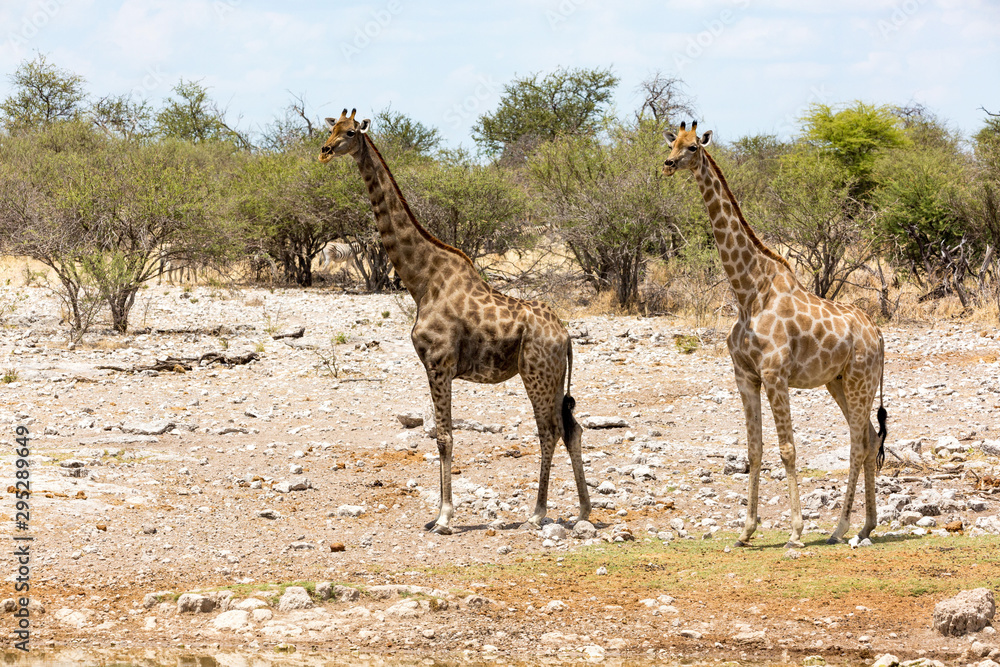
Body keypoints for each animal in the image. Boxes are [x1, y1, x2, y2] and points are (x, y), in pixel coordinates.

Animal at [319, 109, 591, 534]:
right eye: (329, 129)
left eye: (348, 133)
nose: (325, 151)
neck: (421, 280)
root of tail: (565, 335)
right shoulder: (435, 365)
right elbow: (440, 435)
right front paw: (439, 514)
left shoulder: (439, 363)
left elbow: (444, 436)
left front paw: (445, 517)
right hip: (550, 376)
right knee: (571, 429)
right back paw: (582, 510)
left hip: (537, 374)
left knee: (549, 431)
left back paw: (538, 512)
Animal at [662, 121, 888, 547]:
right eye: (670, 144)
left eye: (693, 147)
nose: (667, 165)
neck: (747, 291)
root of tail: (878, 334)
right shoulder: (745, 377)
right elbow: (754, 449)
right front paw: (745, 530)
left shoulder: (775, 374)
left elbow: (787, 449)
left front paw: (796, 532)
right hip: (837, 381)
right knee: (868, 437)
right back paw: (866, 526)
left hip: (860, 380)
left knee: (857, 442)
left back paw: (839, 528)